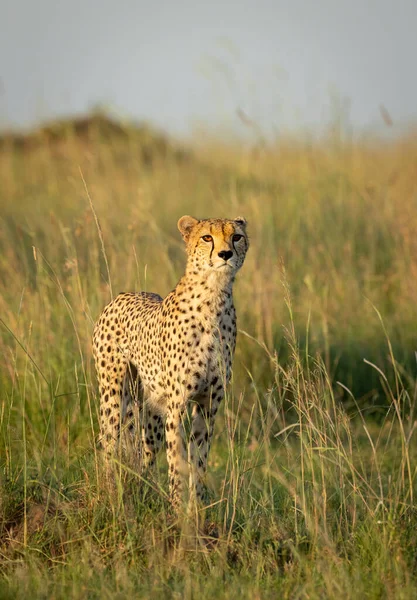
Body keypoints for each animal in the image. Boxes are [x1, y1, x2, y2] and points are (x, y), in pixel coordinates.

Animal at [93, 213, 249, 508]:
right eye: (207, 237)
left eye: (236, 236)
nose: (225, 254)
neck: (214, 297)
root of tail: (123, 294)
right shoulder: (177, 405)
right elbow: (177, 460)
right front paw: (177, 508)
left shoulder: (209, 403)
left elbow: (199, 459)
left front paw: (197, 508)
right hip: (115, 396)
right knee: (108, 441)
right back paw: (109, 492)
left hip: (152, 407)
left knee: (146, 450)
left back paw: (147, 489)